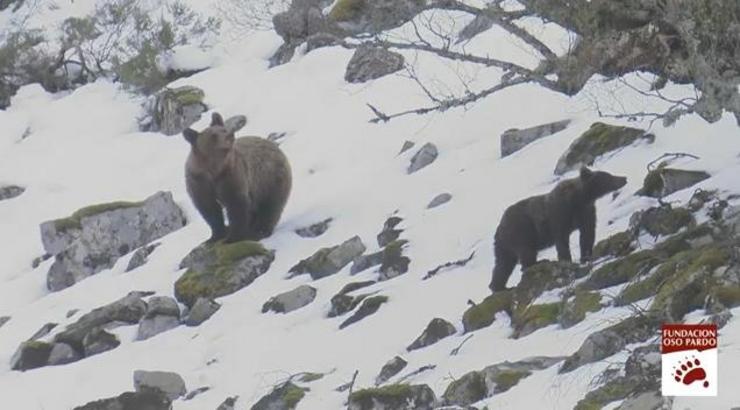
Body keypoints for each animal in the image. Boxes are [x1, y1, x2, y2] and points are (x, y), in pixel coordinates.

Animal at [182, 111, 292, 243]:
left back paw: (260, 231)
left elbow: (236, 204)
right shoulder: (198, 181)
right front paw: (215, 236)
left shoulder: (231, 176)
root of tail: (273, 145)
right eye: (213, 135)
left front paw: (233, 237)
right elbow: (209, 209)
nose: (230, 135)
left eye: (224, 129)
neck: (213, 169)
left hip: (269, 179)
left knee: (271, 206)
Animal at [492, 167, 624, 292]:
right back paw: (535, 264)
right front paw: (567, 261)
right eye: (608, 176)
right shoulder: (560, 214)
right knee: (525, 252)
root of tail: (499, 227)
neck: (580, 198)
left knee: (503, 264)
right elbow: (562, 239)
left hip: (505, 245)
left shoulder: (585, 212)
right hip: (521, 231)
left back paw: (499, 286)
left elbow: (587, 234)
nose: (624, 178)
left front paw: (586, 257)